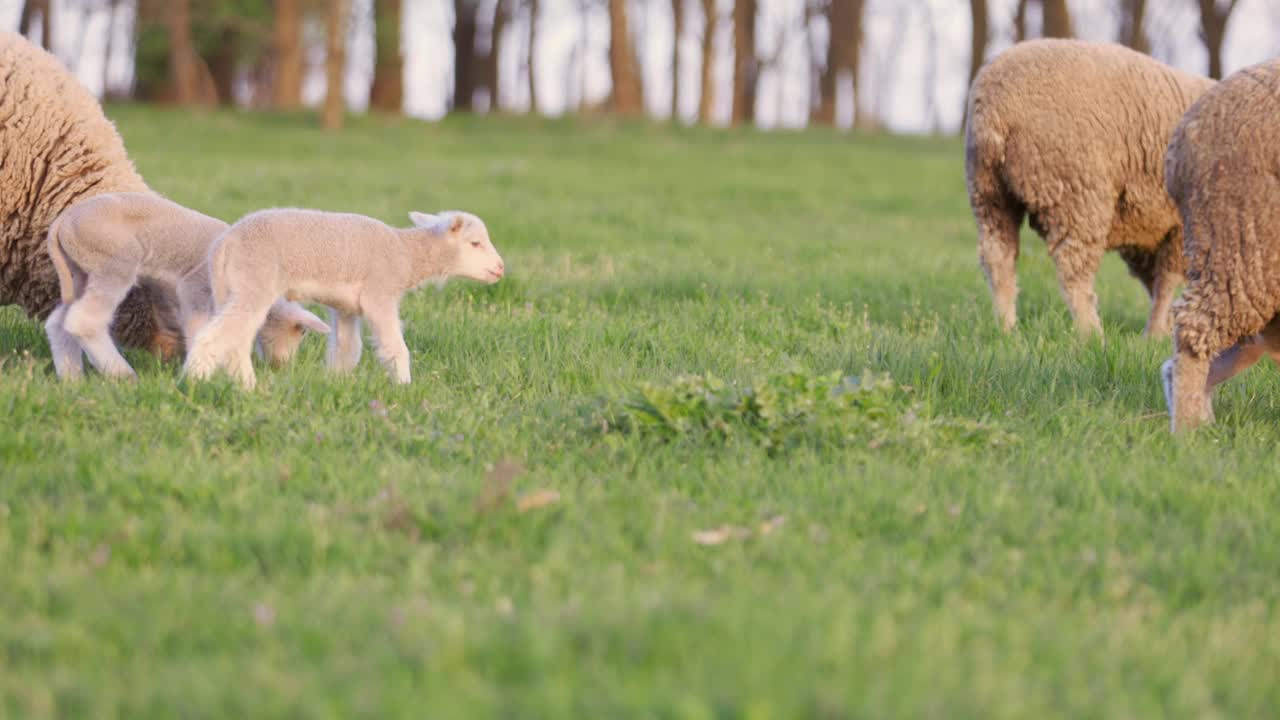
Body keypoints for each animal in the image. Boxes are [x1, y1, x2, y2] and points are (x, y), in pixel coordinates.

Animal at [46, 190, 330, 381]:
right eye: (302, 332)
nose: (283, 368)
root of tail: (62, 222)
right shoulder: (196, 285)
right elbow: (200, 328)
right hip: (114, 261)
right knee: (84, 320)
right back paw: (123, 375)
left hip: (80, 270)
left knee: (58, 322)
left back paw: (72, 378)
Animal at [185, 207, 504, 386]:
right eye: (475, 243)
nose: (501, 268)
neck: (407, 254)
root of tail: (224, 245)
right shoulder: (380, 294)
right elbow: (395, 348)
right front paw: (404, 387)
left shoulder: (346, 308)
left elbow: (348, 349)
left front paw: (337, 381)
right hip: (254, 280)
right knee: (217, 336)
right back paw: (195, 381)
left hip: (232, 287)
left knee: (236, 340)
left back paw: (246, 385)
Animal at [962, 40, 1213, 338]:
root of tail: (995, 110)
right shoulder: (1180, 226)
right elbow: (1167, 282)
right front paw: (1155, 333)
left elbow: (1157, 282)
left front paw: (1162, 330)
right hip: (1078, 193)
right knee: (1073, 268)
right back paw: (1092, 333)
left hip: (989, 194)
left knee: (998, 258)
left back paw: (1006, 329)